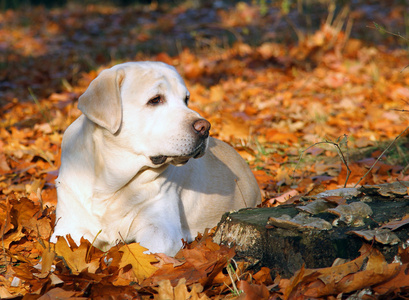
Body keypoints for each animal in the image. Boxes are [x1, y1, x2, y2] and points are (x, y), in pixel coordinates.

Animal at [51, 61, 260, 255]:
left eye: (186, 99)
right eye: (155, 99)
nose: (205, 127)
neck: (110, 182)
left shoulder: (161, 232)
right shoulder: (67, 228)